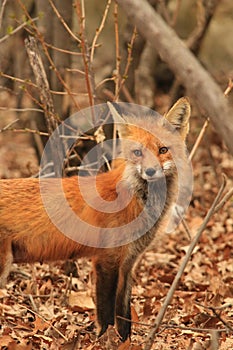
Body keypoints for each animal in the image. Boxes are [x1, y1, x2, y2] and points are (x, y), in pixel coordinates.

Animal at [0, 98, 190, 342]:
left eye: (163, 150)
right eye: (137, 152)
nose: (150, 170)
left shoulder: (127, 264)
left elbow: (124, 316)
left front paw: (125, 343)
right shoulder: (106, 260)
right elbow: (106, 314)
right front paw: (104, 341)